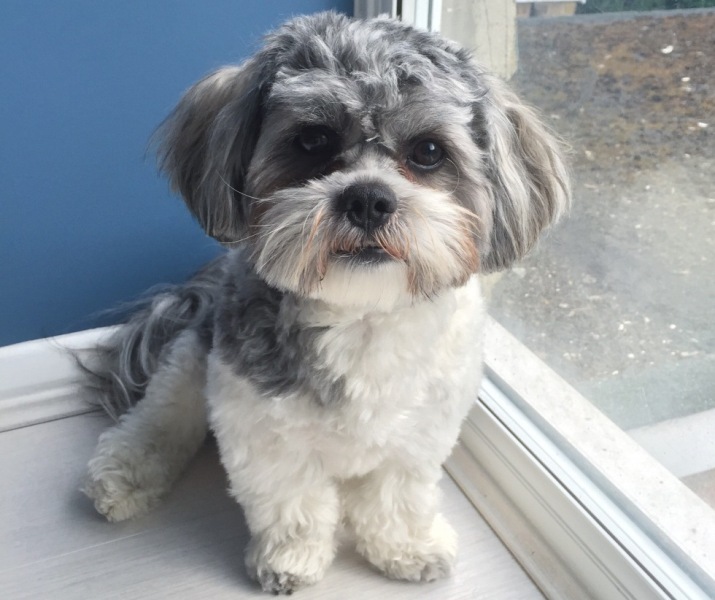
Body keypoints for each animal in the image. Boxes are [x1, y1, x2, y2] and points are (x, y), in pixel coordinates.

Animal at [79, 10, 572, 596]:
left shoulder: (422, 430)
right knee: (162, 414)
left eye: (428, 152)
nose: (368, 198)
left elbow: (398, 493)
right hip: (194, 355)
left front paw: (407, 548)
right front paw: (290, 560)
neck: (361, 318)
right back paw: (127, 471)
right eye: (312, 140)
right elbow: (291, 501)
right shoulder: (260, 425)